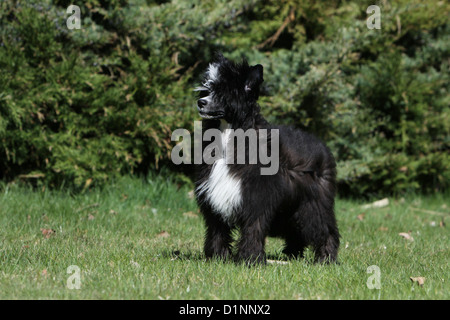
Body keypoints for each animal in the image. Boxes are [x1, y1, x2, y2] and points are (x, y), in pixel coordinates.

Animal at [193, 53, 338, 264]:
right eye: (208, 88)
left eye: (224, 92)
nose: (201, 102)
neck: (230, 134)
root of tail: (323, 147)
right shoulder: (214, 199)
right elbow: (217, 230)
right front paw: (218, 258)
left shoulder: (256, 197)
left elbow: (253, 228)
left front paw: (250, 260)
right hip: (291, 209)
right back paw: (293, 254)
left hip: (314, 202)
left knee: (325, 229)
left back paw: (326, 259)